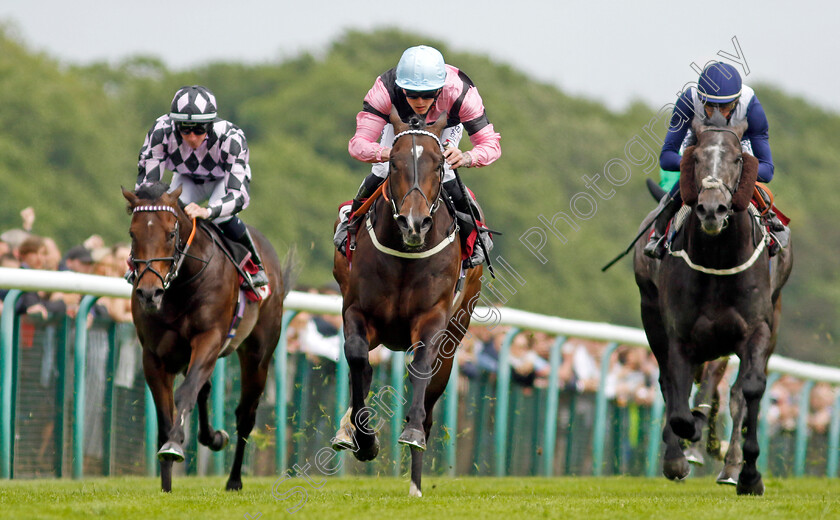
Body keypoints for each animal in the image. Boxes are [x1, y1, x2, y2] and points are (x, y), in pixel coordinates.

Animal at [636, 114, 796, 496]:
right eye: (694, 158)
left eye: (738, 159)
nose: (712, 209)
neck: (718, 261)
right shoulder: (680, 334)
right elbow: (678, 401)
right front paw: (682, 451)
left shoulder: (755, 329)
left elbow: (749, 390)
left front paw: (748, 473)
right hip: (651, 316)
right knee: (670, 384)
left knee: (737, 393)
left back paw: (730, 464)